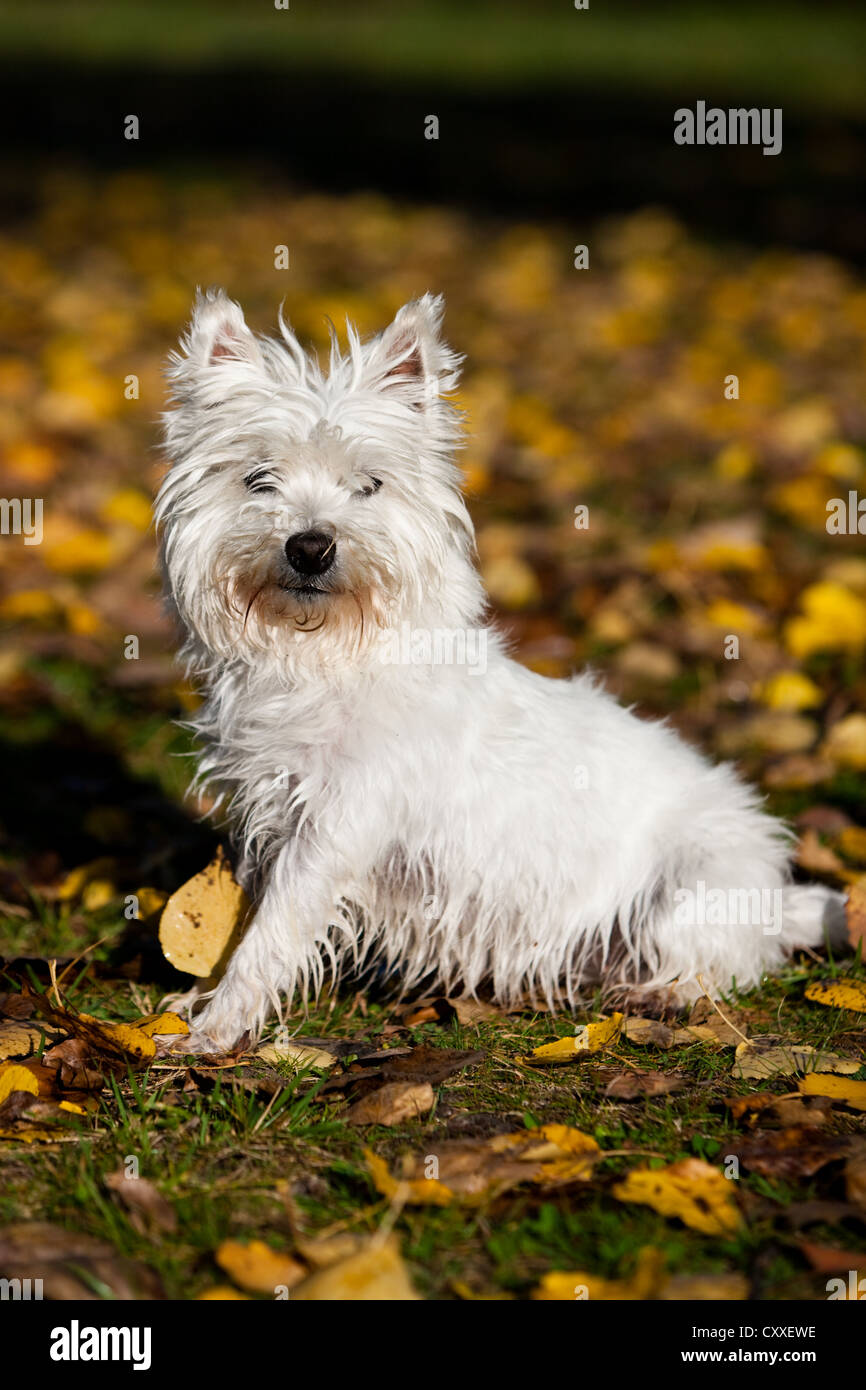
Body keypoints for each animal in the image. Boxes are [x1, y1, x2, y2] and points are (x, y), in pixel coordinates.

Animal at [157, 296, 845, 1050]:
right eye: (259, 478)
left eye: (369, 484)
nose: (310, 547)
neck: (323, 655)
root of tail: (776, 893)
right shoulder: (273, 815)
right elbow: (249, 922)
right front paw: (203, 1001)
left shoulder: (338, 826)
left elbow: (271, 932)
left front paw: (215, 1029)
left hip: (692, 884)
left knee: (722, 962)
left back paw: (661, 994)